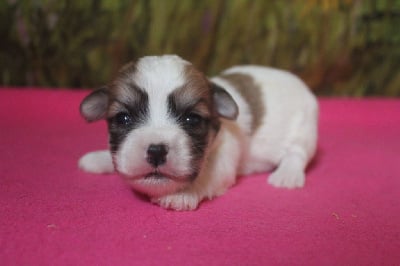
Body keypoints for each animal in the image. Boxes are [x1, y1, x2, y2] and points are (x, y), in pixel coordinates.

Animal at [79, 55, 318, 211]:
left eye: (192, 119)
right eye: (123, 118)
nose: (156, 151)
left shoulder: (225, 153)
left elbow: (209, 174)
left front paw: (182, 193)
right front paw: (99, 158)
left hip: (304, 129)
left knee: (297, 153)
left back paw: (287, 175)